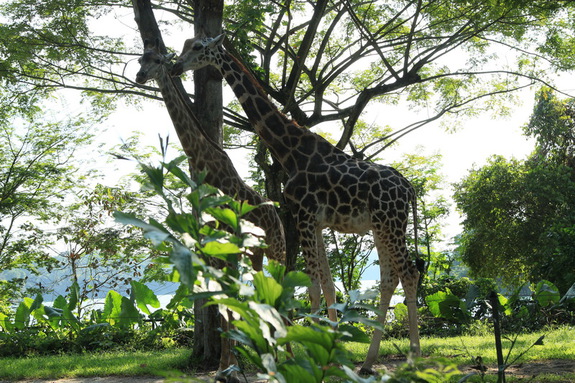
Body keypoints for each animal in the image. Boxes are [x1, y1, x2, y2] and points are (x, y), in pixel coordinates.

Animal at [136, 39, 288, 380]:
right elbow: (224, 308)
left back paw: (286, 356)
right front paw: (225, 367)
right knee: (265, 295)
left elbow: (231, 307)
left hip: (277, 249)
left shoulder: (229, 250)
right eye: (139, 59)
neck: (206, 167)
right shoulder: (211, 252)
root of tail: (277, 216)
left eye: (156, 61)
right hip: (255, 255)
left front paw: (231, 367)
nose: (139, 76)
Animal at [172, 33, 424, 376]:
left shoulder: (303, 214)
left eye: (198, 48)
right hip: (381, 226)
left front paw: (311, 354)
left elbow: (313, 286)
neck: (290, 150)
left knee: (409, 273)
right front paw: (329, 352)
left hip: (391, 223)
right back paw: (369, 362)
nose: (176, 65)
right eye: (185, 46)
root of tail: (409, 188)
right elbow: (327, 285)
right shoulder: (315, 220)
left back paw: (414, 357)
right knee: (389, 279)